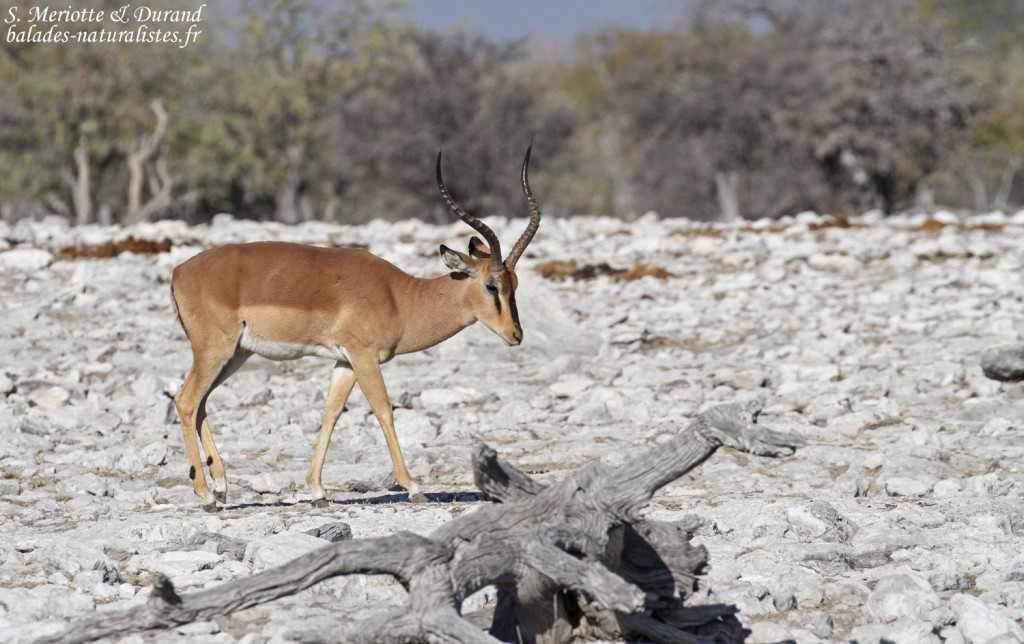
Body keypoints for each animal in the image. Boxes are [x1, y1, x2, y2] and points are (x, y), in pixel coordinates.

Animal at [171, 146, 541, 511]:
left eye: (515, 284)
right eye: (492, 286)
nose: (516, 335)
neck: (400, 298)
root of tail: (179, 272)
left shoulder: (345, 360)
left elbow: (331, 414)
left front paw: (317, 491)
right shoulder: (364, 356)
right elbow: (384, 411)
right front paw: (414, 487)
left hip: (236, 354)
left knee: (201, 402)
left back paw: (221, 488)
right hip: (216, 350)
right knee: (186, 401)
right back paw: (206, 496)